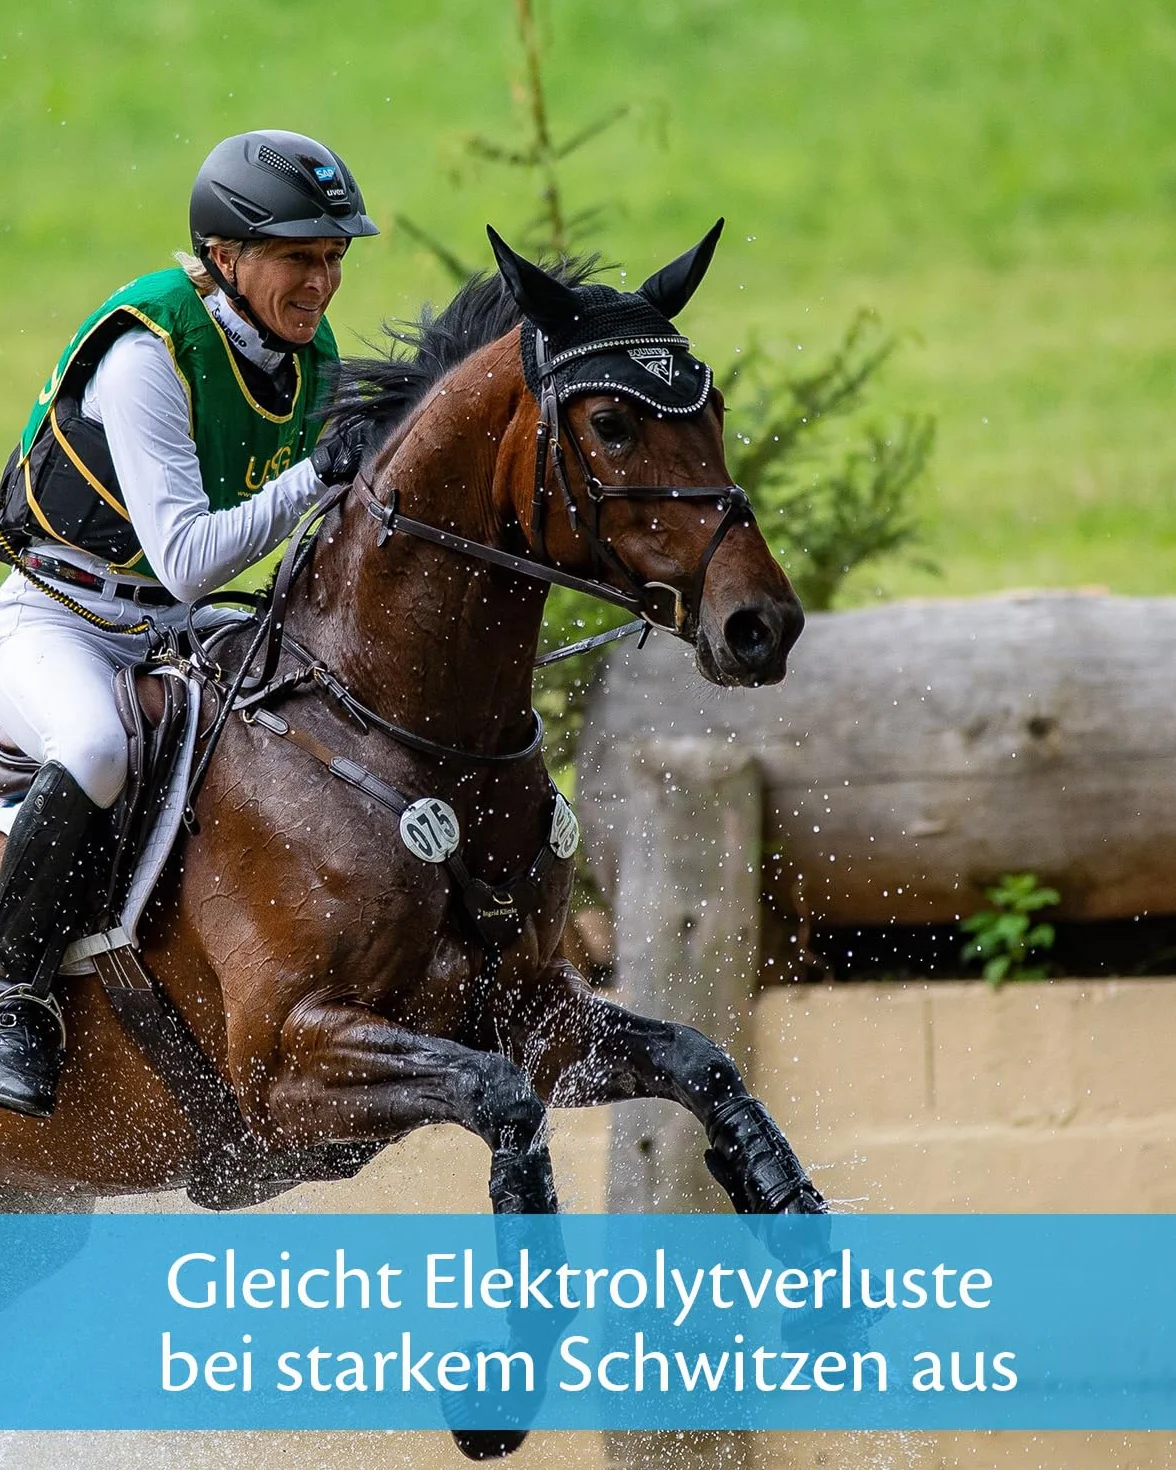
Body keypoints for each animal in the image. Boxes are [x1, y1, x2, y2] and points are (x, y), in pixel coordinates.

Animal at [0, 222, 823, 1456]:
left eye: (713, 404)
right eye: (613, 424)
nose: (760, 625)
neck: (398, 736)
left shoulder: (536, 1009)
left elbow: (699, 1062)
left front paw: (809, 1251)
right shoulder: (284, 1070)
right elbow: (502, 1103)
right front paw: (500, 1388)